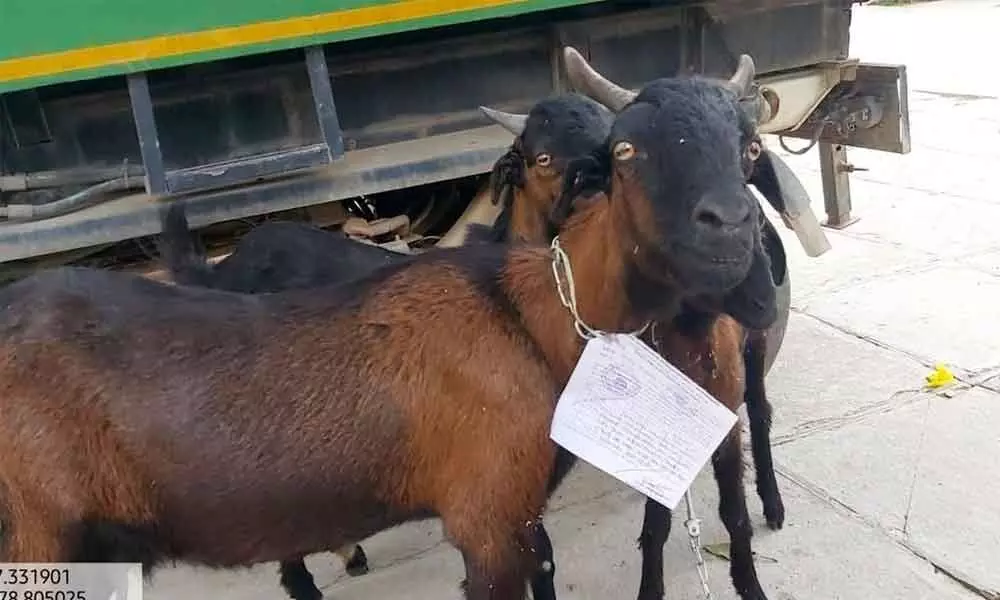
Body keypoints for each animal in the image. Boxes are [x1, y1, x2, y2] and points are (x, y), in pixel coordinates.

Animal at [0, 45, 764, 600]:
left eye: (750, 148)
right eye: (627, 151)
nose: (730, 224)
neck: (530, 313)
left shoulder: (520, 514)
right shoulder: (488, 517)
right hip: (36, 540)